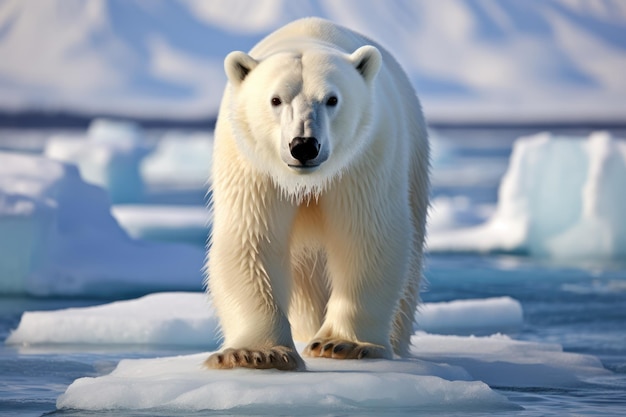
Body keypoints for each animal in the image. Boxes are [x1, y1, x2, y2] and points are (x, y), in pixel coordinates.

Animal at [205, 17, 428, 370]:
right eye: (276, 100)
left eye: (332, 99)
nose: (304, 145)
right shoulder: (252, 165)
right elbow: (252, 238)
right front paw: (255, 353)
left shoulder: (363, 159)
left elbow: (366, 235)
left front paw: (341, 344)